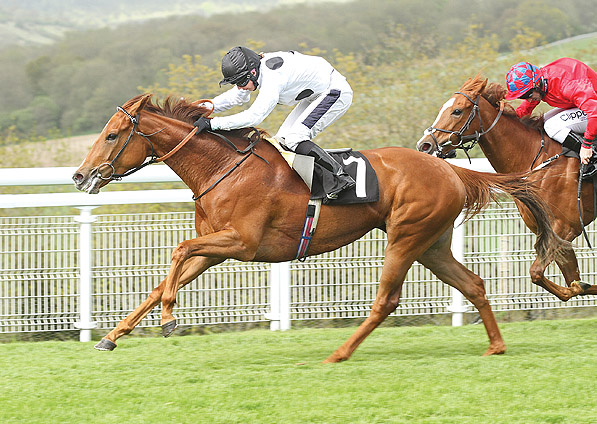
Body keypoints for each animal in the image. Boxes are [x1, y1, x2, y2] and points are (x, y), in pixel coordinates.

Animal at [73, 93, 560, 362]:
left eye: (112, 136)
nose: (80, 176)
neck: (223, 168)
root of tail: (449, 169)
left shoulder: (241, 243)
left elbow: (177, 251)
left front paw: (170, 318)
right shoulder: (216, 249)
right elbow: (165, 278)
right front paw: (112, 337)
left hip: (407, 237)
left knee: (387, 300)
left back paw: (339, 353)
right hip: (432, 243)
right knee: (474, 284)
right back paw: (496, 346)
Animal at [414, 75, 596, 302]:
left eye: (457, 110)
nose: (424, 145)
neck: (537, 159)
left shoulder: (564, 228)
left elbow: (538, 273)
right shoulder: (553, 234)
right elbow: (573, 284)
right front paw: (580, 285)